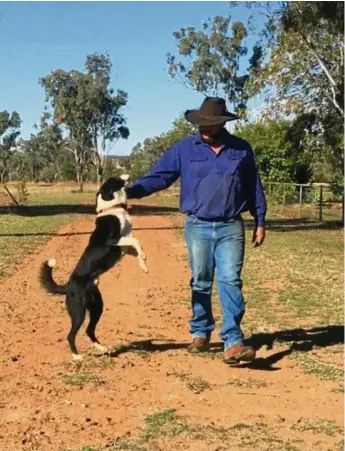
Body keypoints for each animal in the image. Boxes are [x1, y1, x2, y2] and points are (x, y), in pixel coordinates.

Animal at [39, 175, 147, 362]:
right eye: (116, 179)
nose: (127, 175)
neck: (113, 208)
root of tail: (68, 285)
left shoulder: (125, 247)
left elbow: (136, 247)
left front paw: (143, 264)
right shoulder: (113, 241)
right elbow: (135, 240)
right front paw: (144, 259)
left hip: (97, 307)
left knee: (90, 330)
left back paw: (102, 348)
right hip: (79, 311)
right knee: (71, 335)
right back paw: (76, 357)